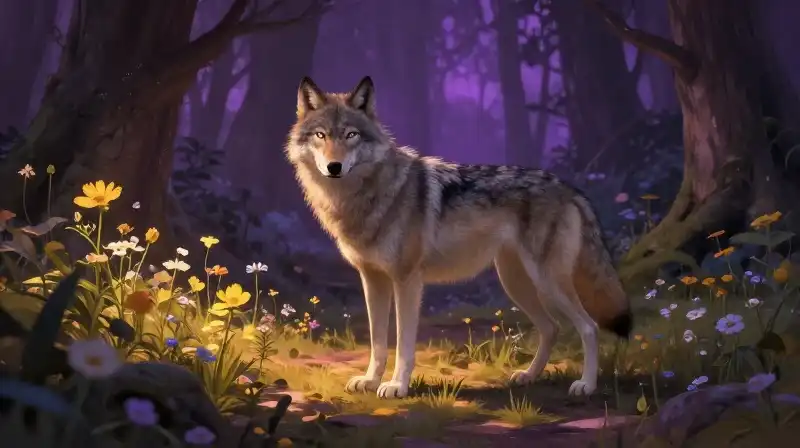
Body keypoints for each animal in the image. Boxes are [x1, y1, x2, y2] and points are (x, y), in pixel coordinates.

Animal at [285, 76, 632, 399]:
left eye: (350, 135)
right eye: (321, 135)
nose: (334, 166)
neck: (366, 195)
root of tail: (570, 187)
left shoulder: (407, 281)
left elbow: (403, 343)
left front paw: (397, 386)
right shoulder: (372, 280)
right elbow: (378, 342)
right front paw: (370, 381)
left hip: (547, 282)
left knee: (588, 326)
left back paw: (586, 385)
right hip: (516, 283)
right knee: (551, 327)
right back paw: (528, 376)